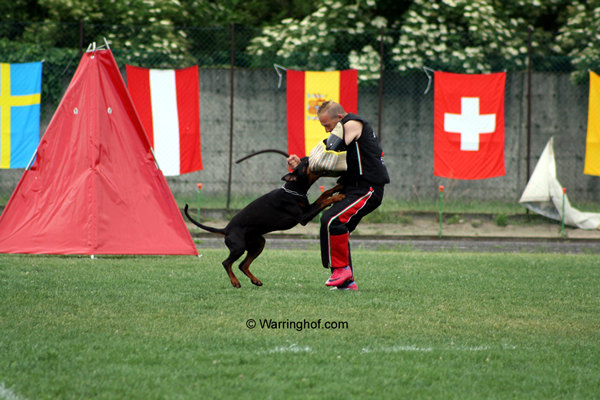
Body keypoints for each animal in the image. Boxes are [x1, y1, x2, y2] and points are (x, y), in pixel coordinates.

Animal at [183, 157, 342, 288]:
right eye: (306, 163)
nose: (308, 156)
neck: (293, 189)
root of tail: (226, 229)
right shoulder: (303, 217)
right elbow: (322, 202)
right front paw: (338, 197)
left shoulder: (307, 209)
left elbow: (323, 195)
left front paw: (336, 188)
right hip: (239, 247)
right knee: (227, 263)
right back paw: (235, 282)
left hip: (258, 243)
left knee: (242, 265)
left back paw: (255, 280)